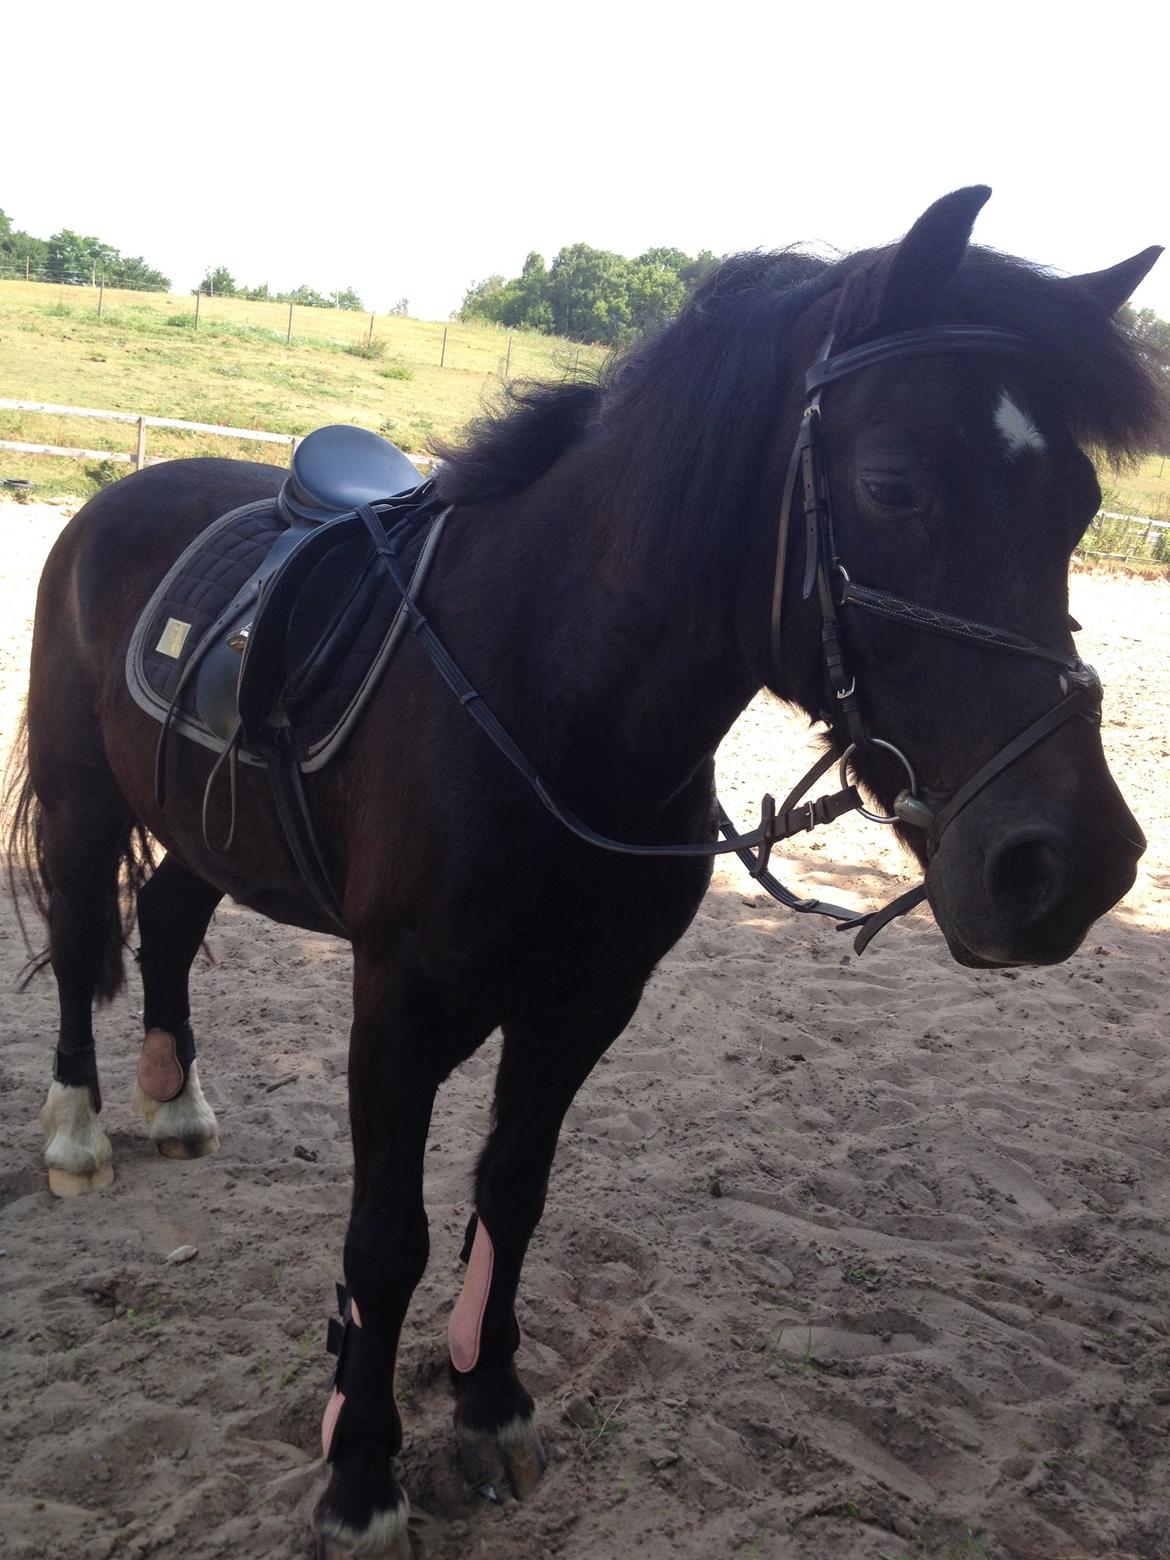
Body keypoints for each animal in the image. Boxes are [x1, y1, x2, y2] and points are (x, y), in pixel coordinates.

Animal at [6, 188, 1166, 1553]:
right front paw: (361, 1473)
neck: (548, 695)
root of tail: (125, 499)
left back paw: (176, 1104)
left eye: (1080, 505)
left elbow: (513, 1194)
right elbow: (386, 1238)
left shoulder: (585, 1005)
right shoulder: (399, 1005)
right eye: (893, 486)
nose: (1074, 866)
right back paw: (79, 1134)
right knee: (84, 944)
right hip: (84, 801)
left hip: (203, 826)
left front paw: (488, 1401)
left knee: (172, 923)